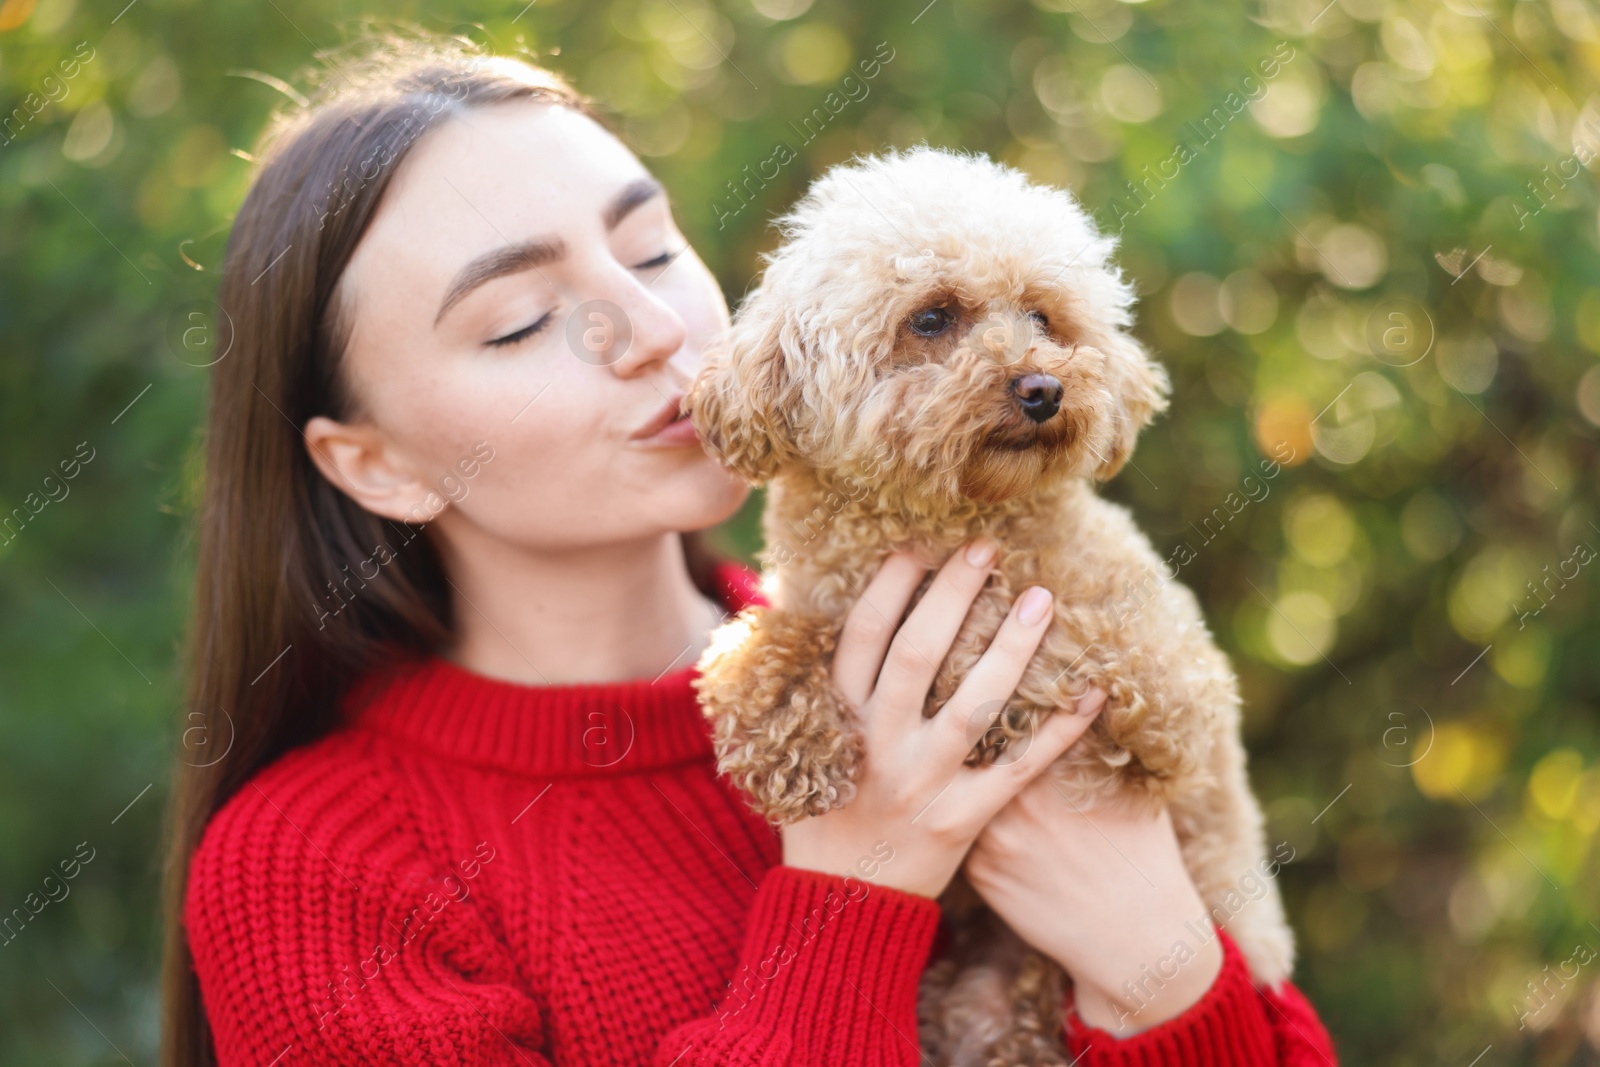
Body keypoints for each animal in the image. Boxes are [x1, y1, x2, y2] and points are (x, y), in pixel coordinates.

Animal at [681, 146, 1292, 1062]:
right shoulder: (818, 596)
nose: (1042, 387)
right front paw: (786, 746)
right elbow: (762, 646)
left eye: (1043, 315)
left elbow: (1064, 632)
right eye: (932, 318)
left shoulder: (1172, 686)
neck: (942, 521)